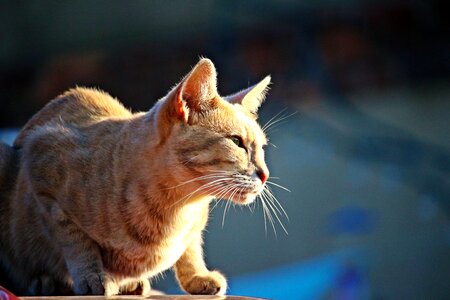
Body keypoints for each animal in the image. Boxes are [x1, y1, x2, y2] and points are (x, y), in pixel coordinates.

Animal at [0, 58, 270, 296]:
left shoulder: (195, 226)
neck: (179, 207)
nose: (265, 174)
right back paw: (45, 282)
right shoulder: (43, 167)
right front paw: (92, 277)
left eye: (261, 148)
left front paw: (197, 276)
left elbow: (191, 248)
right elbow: (76, 241)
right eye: (237, 142)